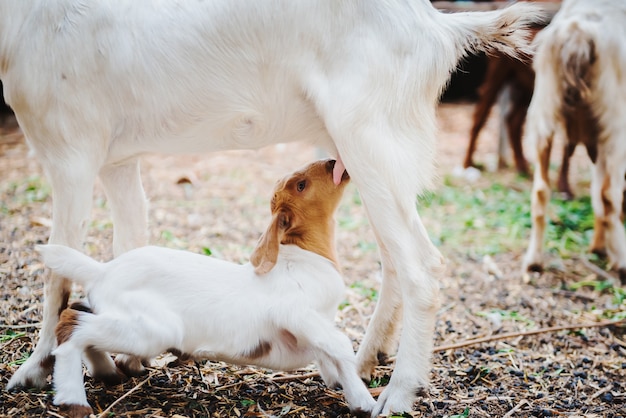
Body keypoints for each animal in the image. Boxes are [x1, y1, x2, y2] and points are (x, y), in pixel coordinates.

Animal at [37, 160, 376, 418]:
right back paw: (72, 399)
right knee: (72, 328)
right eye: (302, 185)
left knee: (75, 314)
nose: (333, 162)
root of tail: (103, 270)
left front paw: (344, 388)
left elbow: (327, 354)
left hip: (117, 313)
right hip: (151, 329)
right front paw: (366, 402)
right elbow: (340, 346)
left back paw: (105, 373)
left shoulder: (316, 325)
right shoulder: (296, 313)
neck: (305, 256)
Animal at [520, 0, 624, 282]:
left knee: (540, 190)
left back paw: (534, 260)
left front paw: (599, 247)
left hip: (543, 111)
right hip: (615, 122)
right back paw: (622, 262)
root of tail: (578, 30)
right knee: (610, 194)